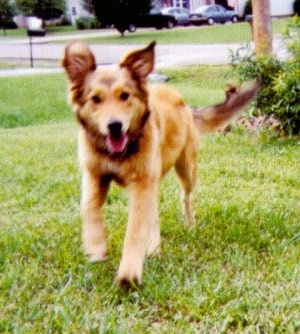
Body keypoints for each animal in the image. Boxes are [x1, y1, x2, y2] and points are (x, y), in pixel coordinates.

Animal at [62, 41, 258, 288]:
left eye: (124, 96)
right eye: (95, 99)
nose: (115, 126)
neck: (119, 153)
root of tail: (185, 104)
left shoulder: (141, 183)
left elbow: (135, 231)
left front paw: (128, 274)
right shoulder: (94, 174)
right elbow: (89, 209)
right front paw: (96, 247)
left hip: (186, 169)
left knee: (185, 197)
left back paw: (188, 225)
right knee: (154, 214)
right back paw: (154, 247)